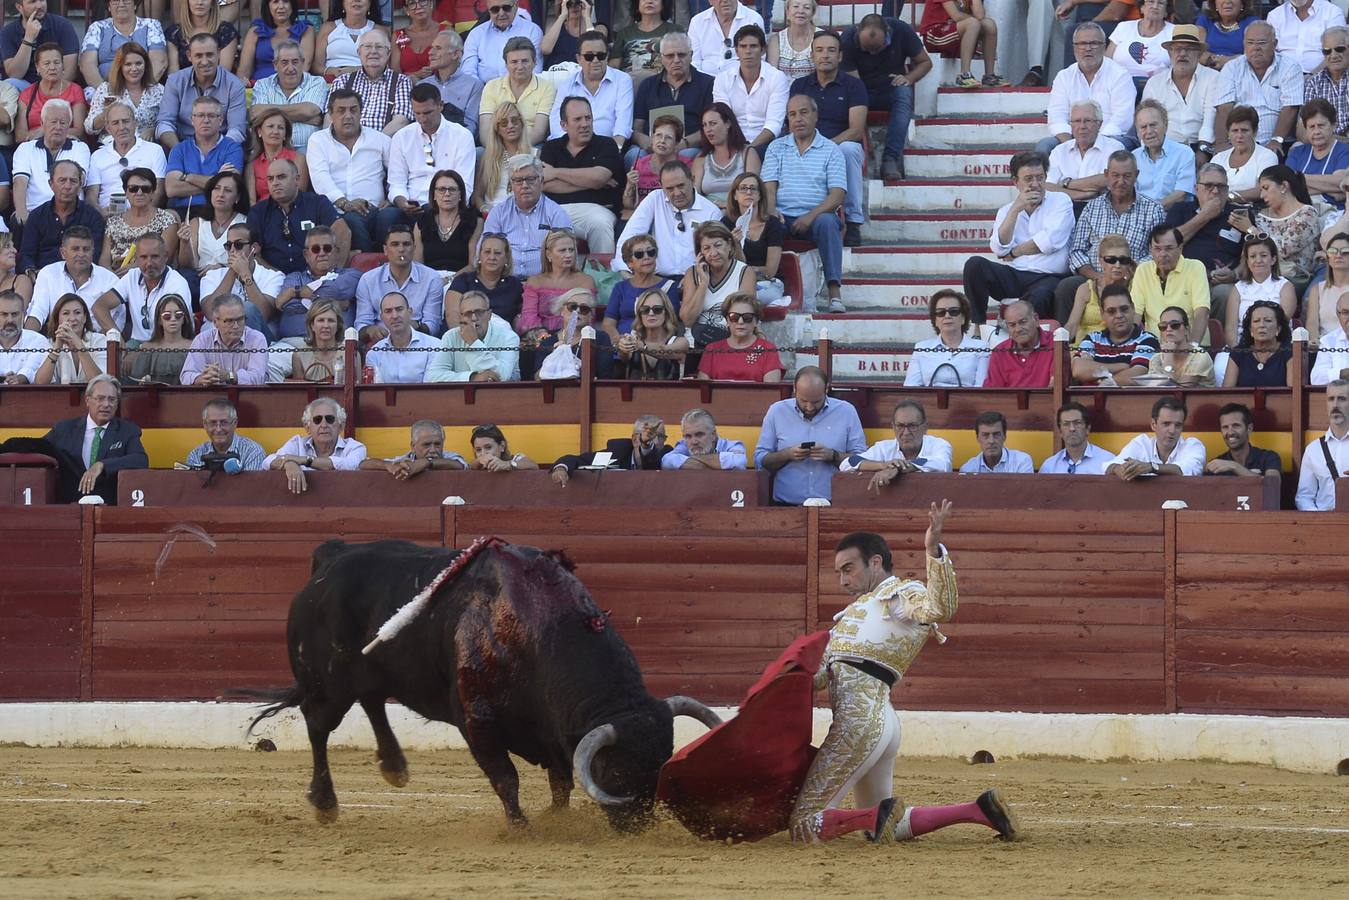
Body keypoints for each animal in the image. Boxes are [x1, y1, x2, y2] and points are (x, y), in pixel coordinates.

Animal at [248, 539, 723, 836]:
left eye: (662, 762)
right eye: (618, 771)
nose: (637, 825)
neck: (539, 632)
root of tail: (331, 558)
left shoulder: (552, 731)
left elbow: (561, 779)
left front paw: (555, 817)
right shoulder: (478, 722)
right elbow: (506, 778)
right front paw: (521, 827)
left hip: (373, 670)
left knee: (372, 701)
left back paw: (394, 767)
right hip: (327, 684)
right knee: (318, 725)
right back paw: (326, 803)